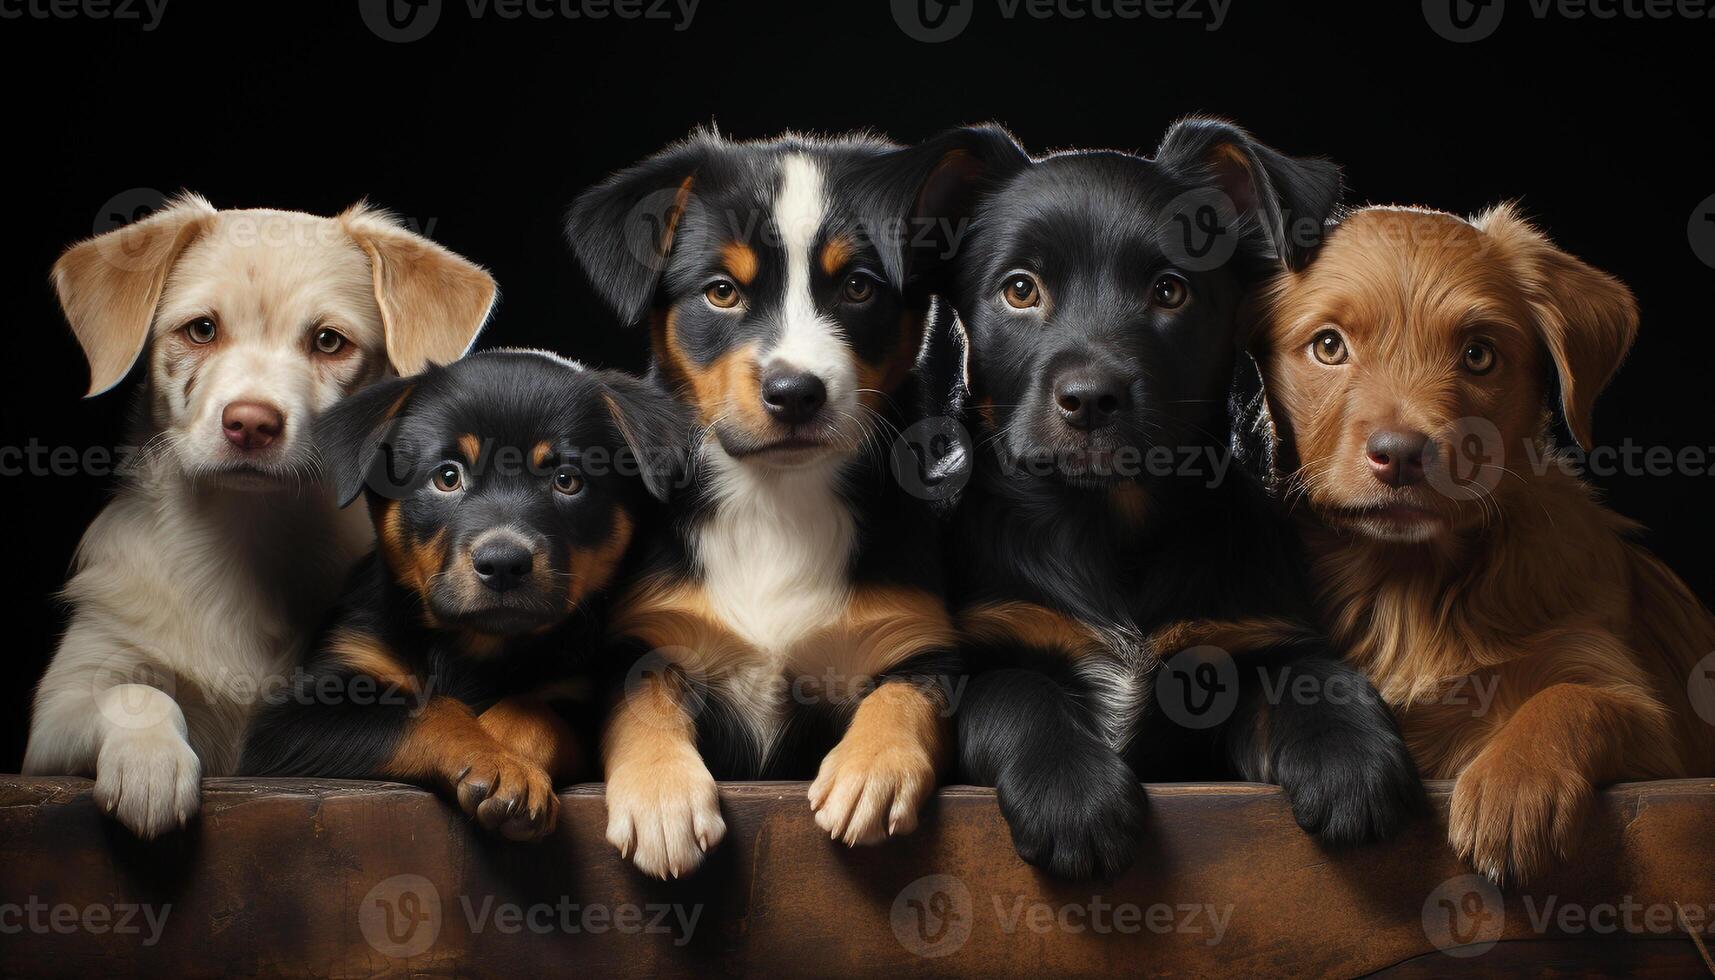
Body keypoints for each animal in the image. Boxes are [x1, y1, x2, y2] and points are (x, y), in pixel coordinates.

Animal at [25, 195, 497, 840]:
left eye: (329, 341)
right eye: (201, 329)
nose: (250, 422)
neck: (247, 537)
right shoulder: (61, 704)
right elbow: (139, 694)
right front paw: (150, 765)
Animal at [238, 348, 679, 840]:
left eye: (567, 480)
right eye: (447, 477)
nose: (503, 563)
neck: (475, 646)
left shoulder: (578, 687)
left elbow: (529, 710)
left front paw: (509, 762)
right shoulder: (296, 715)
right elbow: (426, 710)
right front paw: (498, 761)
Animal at [939, 119, 1420, 878]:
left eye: (1170, 292)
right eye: (1020, 290)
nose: (1090, 399)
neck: (1111, 520)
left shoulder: (1242, 646)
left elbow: (1313, 673)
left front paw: (1353, 762)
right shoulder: (984, 655)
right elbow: (1018, 695)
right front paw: (1072, 796)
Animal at [1248, 203, 1715, 885]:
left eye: (1478, 355)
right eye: (1329, 346)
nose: (1400, 455)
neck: (1410, 583)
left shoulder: (1652, 727)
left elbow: (1572, 696)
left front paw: (1515, 788)